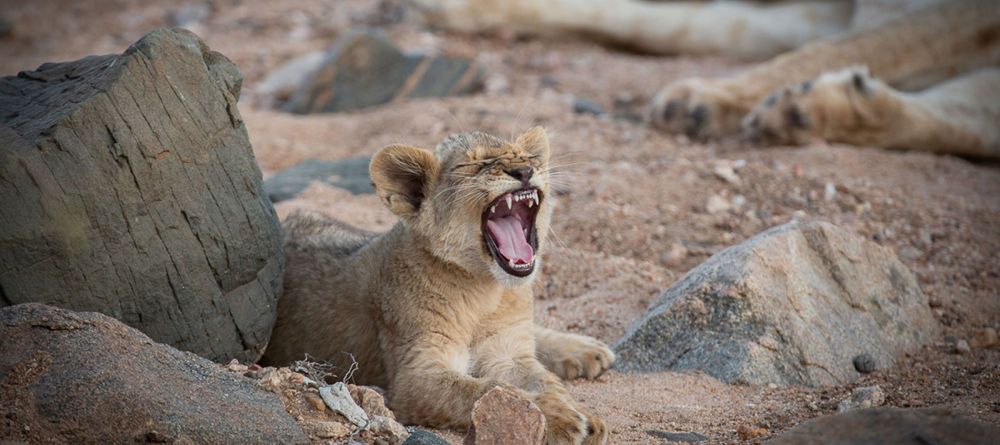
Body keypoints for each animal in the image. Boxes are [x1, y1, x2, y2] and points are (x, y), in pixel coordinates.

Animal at [261, 127, 613, 444]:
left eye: (527, 158)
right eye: (476, 164)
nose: (525, 171)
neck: (485, 291)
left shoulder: (509, 351)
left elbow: (545, 380)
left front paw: (580, 414)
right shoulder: (415, 374)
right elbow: (486, 390)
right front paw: (559, 418)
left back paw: (587, 350)